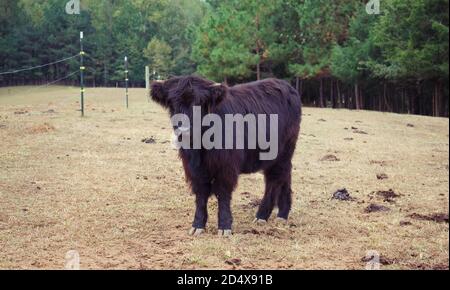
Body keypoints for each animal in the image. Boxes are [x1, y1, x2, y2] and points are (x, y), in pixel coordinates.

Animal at [151, 75, 302, 236]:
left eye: (199, 103)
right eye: (173, 103)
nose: (184, 129)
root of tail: (286, 85)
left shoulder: (226, 167)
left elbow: (223, 194)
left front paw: (224, 226)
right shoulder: (194, 169)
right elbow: (201, 195)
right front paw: (197, 225)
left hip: (282, 152)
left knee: (274, 180)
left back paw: (262, 215)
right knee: (284, 175)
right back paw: (282, 214)